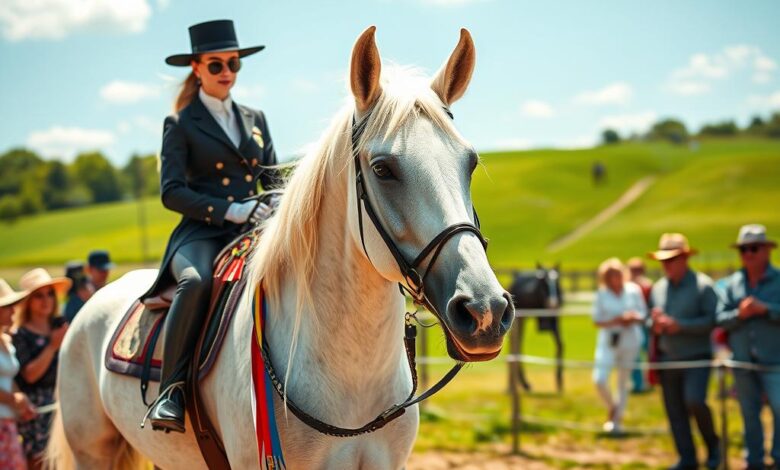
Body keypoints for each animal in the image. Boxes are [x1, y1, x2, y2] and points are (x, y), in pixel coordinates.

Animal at [47, 26, 512, 470]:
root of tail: (95, 300)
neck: (352, 377)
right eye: (383, 169)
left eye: (470, 163)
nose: (485, 311)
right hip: (92, 451)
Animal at [508, 264, 564, 392]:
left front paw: (559, 382)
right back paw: (519, 384)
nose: (553, 304)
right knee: (517, 345)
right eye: (544, 282)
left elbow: (560, 345)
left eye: (557, 281)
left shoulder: (555, 320)